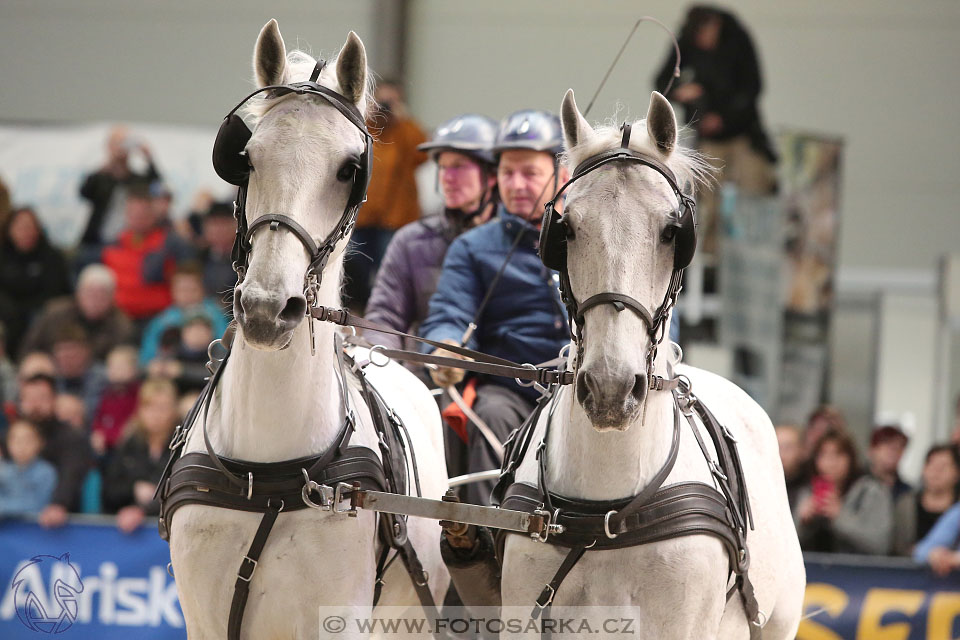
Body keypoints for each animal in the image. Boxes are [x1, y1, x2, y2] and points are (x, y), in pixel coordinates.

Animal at [168, 21, 450, 640]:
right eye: (246, 159)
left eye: (349, 169)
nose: (267, 308)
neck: (269, 476)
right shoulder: (202, 616)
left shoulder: (337, 615)